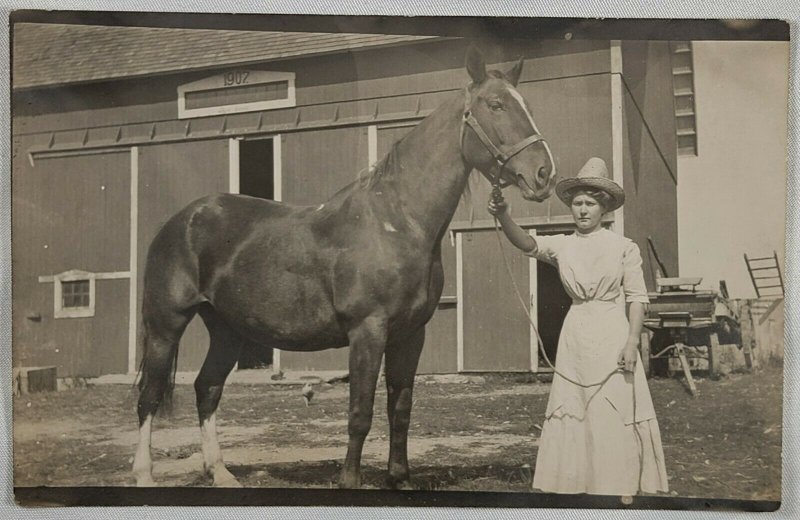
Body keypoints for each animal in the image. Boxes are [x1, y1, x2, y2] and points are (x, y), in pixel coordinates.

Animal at [133, 46, 556, 490]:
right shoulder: (367, 331)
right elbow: (360, 411)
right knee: (149, 395)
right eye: (495, 105)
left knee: (207, 388)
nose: (544, 173)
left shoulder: (411, 335)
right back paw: (144, 475)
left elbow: (400, 409)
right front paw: (348, 480)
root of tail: (183, 219)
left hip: (227, 329)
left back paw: (220, 472)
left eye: (526, 106)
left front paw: (400, 479)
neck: (396, 222)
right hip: (165, 326)